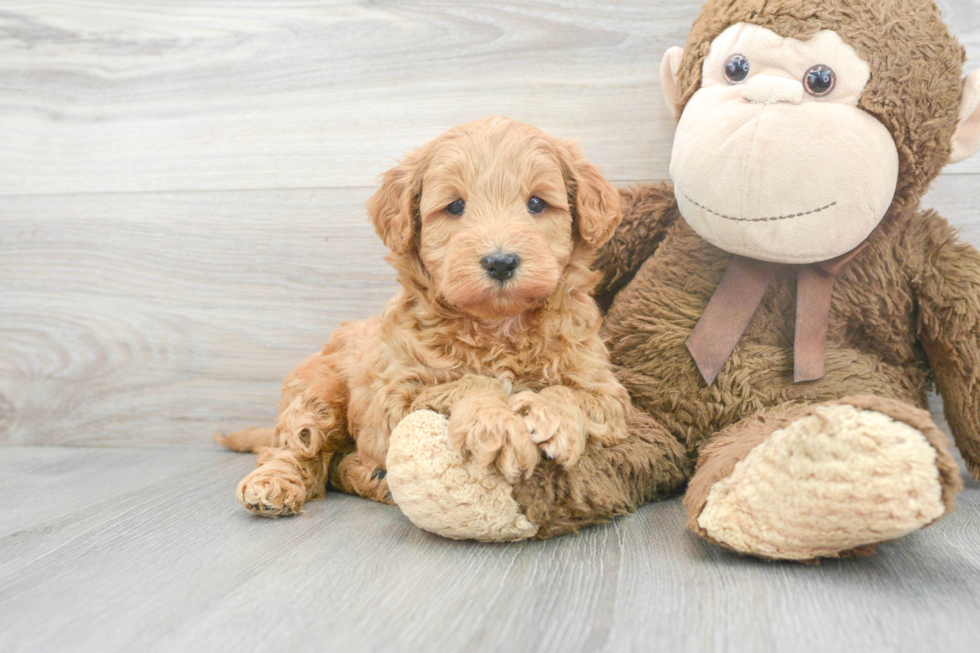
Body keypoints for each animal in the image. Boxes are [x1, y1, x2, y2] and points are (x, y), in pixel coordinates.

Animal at [220, 116, 628, 516]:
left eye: (537, 203)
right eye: (455, 207)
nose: (500, 262)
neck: (497, 326)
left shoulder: (609, 393)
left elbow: (573, 393)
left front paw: (550, 414)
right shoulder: (393, 398)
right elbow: (469, 383)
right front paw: (493, 422)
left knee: (336, 466)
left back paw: (375, 478)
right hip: (318, 390)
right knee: (294, 446)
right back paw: (274, 483)